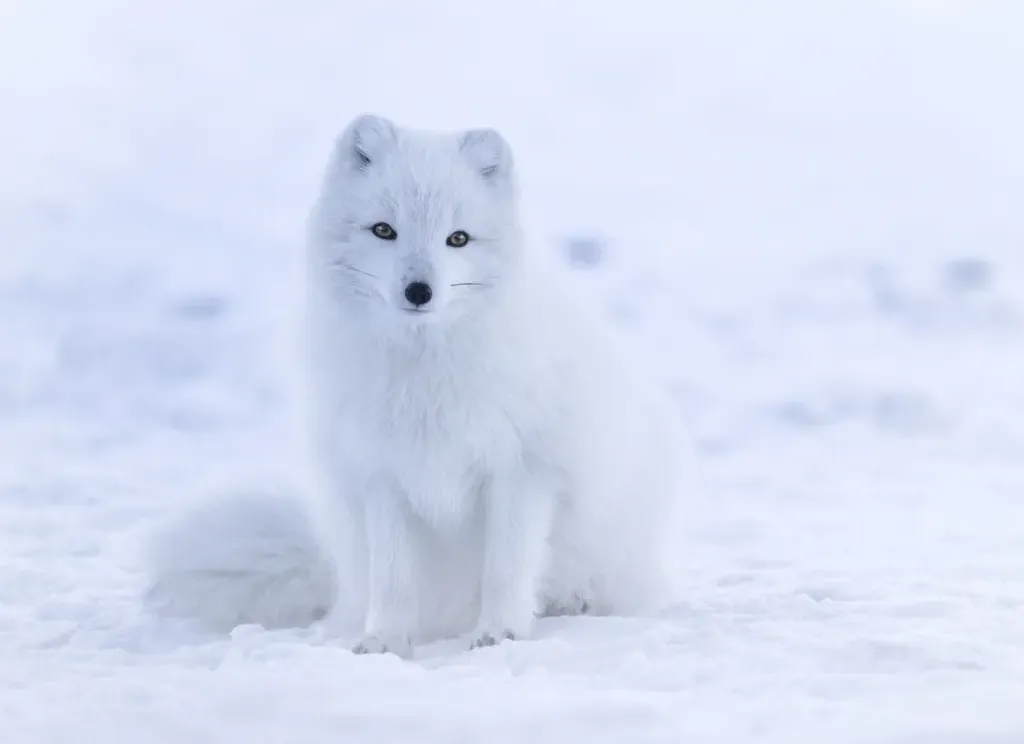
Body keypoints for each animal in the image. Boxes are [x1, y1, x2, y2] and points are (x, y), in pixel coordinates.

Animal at [145, 114, 691, 658]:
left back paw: (572, 602)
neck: (424, 373)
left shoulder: (522, 469)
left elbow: (507, 566)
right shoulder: (383, 475)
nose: (419, 291)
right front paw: (385, 640)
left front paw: (500, 633)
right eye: (384, 230)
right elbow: (393, 576)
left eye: (458, 239)